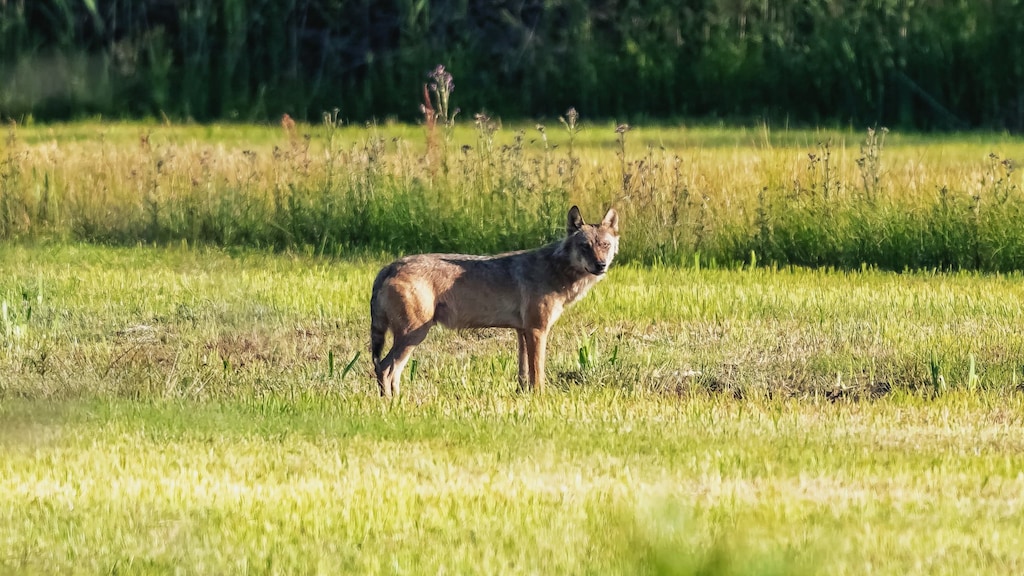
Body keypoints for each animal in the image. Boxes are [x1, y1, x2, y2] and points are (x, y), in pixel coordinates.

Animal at [369, 206, 619, 397]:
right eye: (585, 246)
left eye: (605, 245)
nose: (601, 265)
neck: (556, 269)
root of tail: (389, 266)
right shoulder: (537, 330)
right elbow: (538, 373)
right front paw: (541, 398)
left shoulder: (522, 331)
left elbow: (524, 373)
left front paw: (524, 396)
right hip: (414, 335)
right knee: (385, 369)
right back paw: (392, 405)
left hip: (411, 337)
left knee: (389, 371)